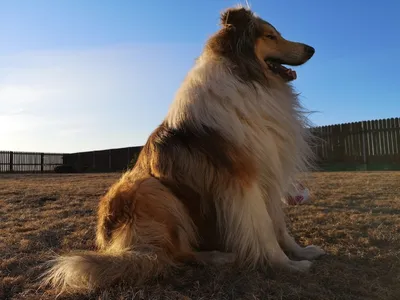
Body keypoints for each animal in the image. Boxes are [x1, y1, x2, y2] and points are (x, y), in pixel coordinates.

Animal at [41, 4, 324, 296]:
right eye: (270, 36)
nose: (312, 49)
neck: (249, 80)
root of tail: (117, 245)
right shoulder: (243, 181)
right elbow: (265, 230)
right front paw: (286, 265)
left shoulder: (269, 175)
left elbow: (279, 225)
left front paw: (301, 252)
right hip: (150, 188)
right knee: (175, 254)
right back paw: (219, 257)